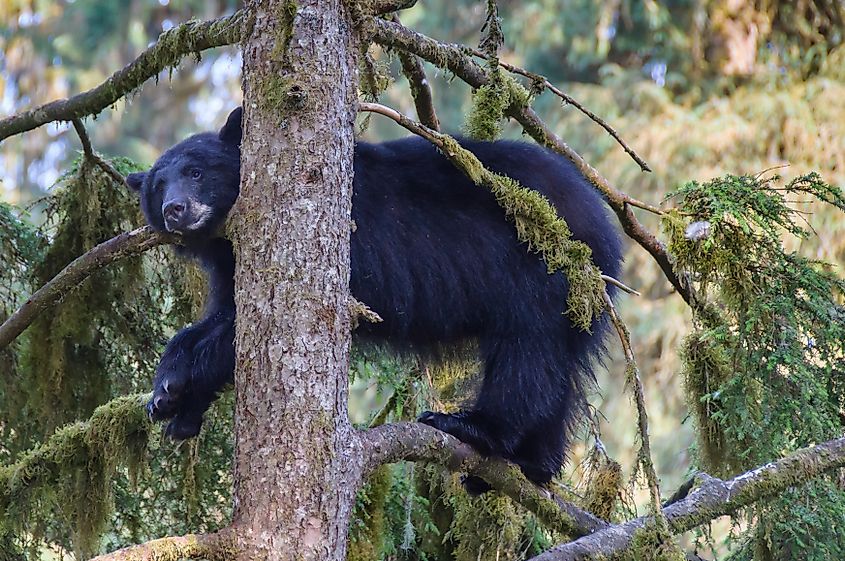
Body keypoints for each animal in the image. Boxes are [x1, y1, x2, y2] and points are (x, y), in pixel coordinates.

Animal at [126, 107, 623, 489]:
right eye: (157, 186)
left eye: (196, 172)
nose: (175, 209)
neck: (228, 237)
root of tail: (603, 222)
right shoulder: (230, 265)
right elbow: (219, 318)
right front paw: (167, 389)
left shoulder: (345, 249)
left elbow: (253, 330)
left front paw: (182, 389)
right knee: (557, 371)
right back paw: (532, 464)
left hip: (540, 271)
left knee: (526, 356)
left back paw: (473, 428)